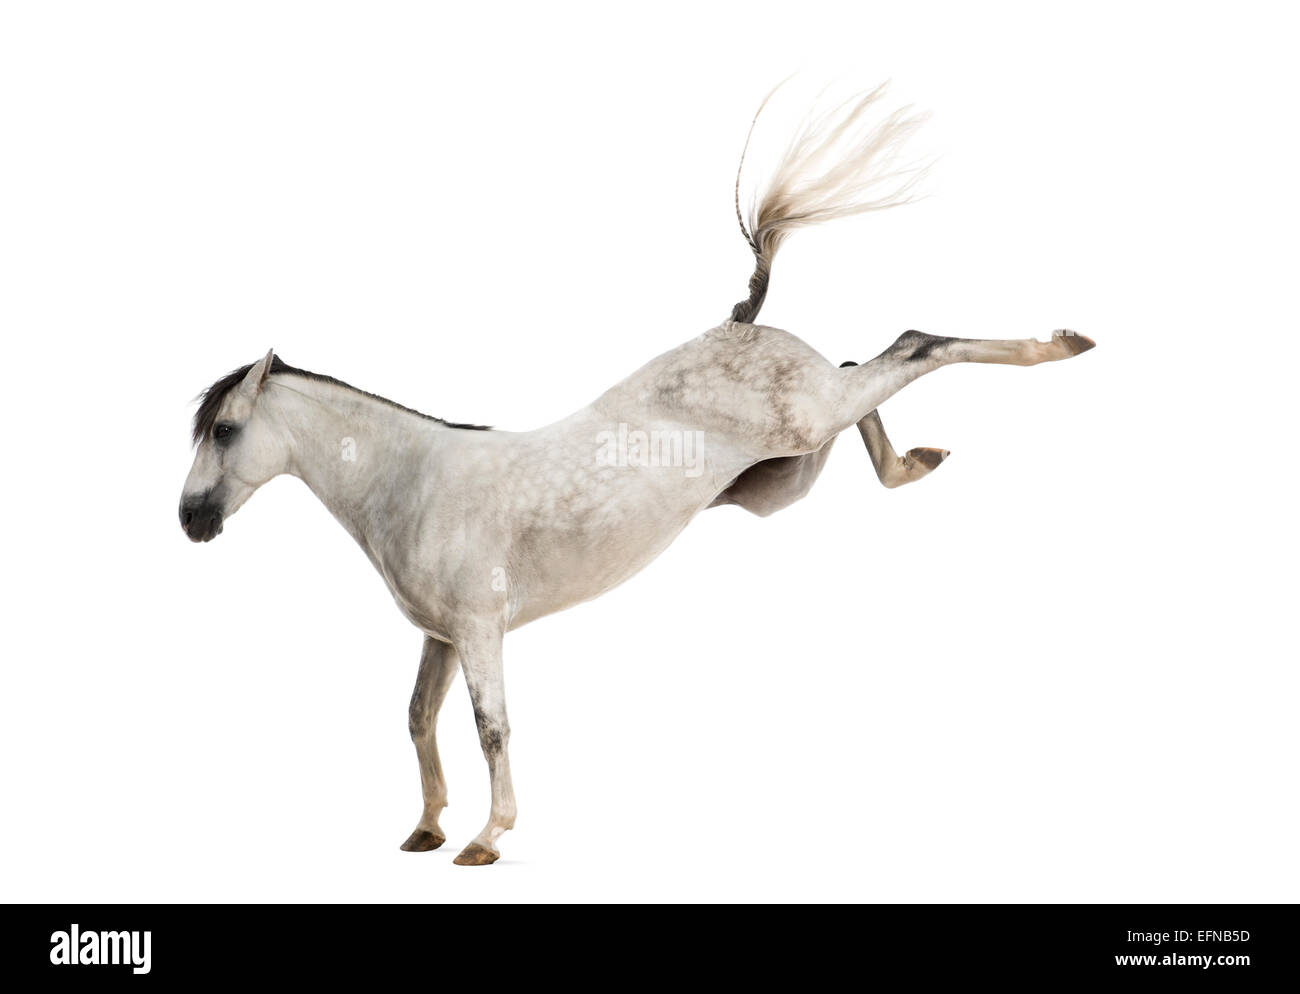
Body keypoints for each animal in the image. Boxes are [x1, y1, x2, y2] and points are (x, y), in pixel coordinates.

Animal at [179, 83, 1094, 865]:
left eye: (225, 430)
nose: (191, 520)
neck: (413, 483)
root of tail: (742, 324)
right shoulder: (439, 635)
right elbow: (415, 720)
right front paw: (427, 828)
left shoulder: (479, 630)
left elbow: (490, 726)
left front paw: (486, 837)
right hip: (793, 467)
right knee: (868, 372)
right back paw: (916, 463)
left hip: (810, 419)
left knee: (912, 345)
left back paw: (1059, 345)